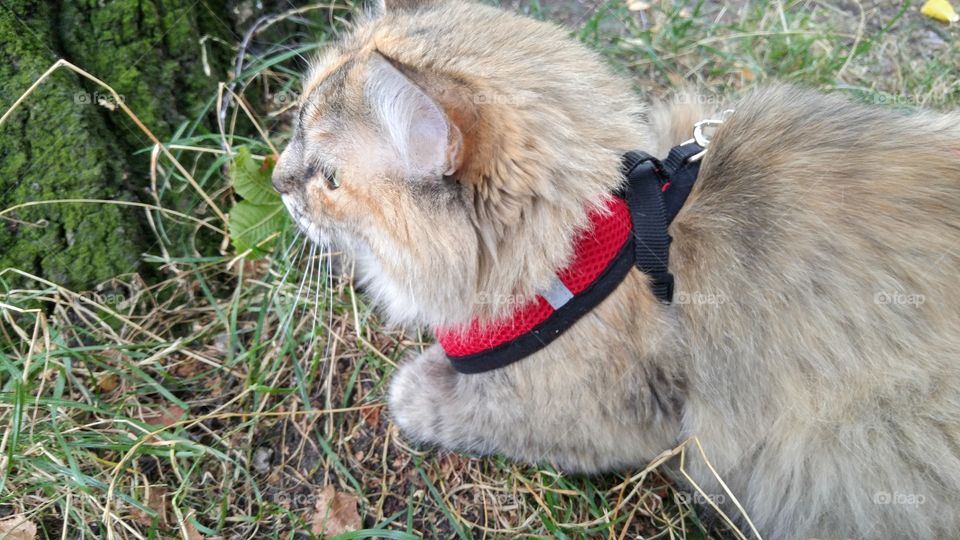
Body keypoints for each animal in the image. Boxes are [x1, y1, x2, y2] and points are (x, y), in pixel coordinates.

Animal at [270, 1, 960, 536]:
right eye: (294, 123)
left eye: (328, 179)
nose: (277, 181)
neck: (594, 240)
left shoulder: (617, 422)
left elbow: (430, 399)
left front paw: (416, 385)